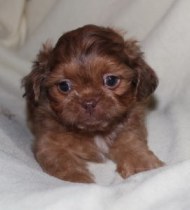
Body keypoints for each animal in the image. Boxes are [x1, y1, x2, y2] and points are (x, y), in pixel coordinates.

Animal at [22, 24, 164, 182]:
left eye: (111, 80)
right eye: (64, 86)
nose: (89, 102)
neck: (95, 131)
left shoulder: (130, 124)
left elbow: (130, 141)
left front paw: (141, 165)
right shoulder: (50, 144)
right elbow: (63, 163)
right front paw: (78, 180)